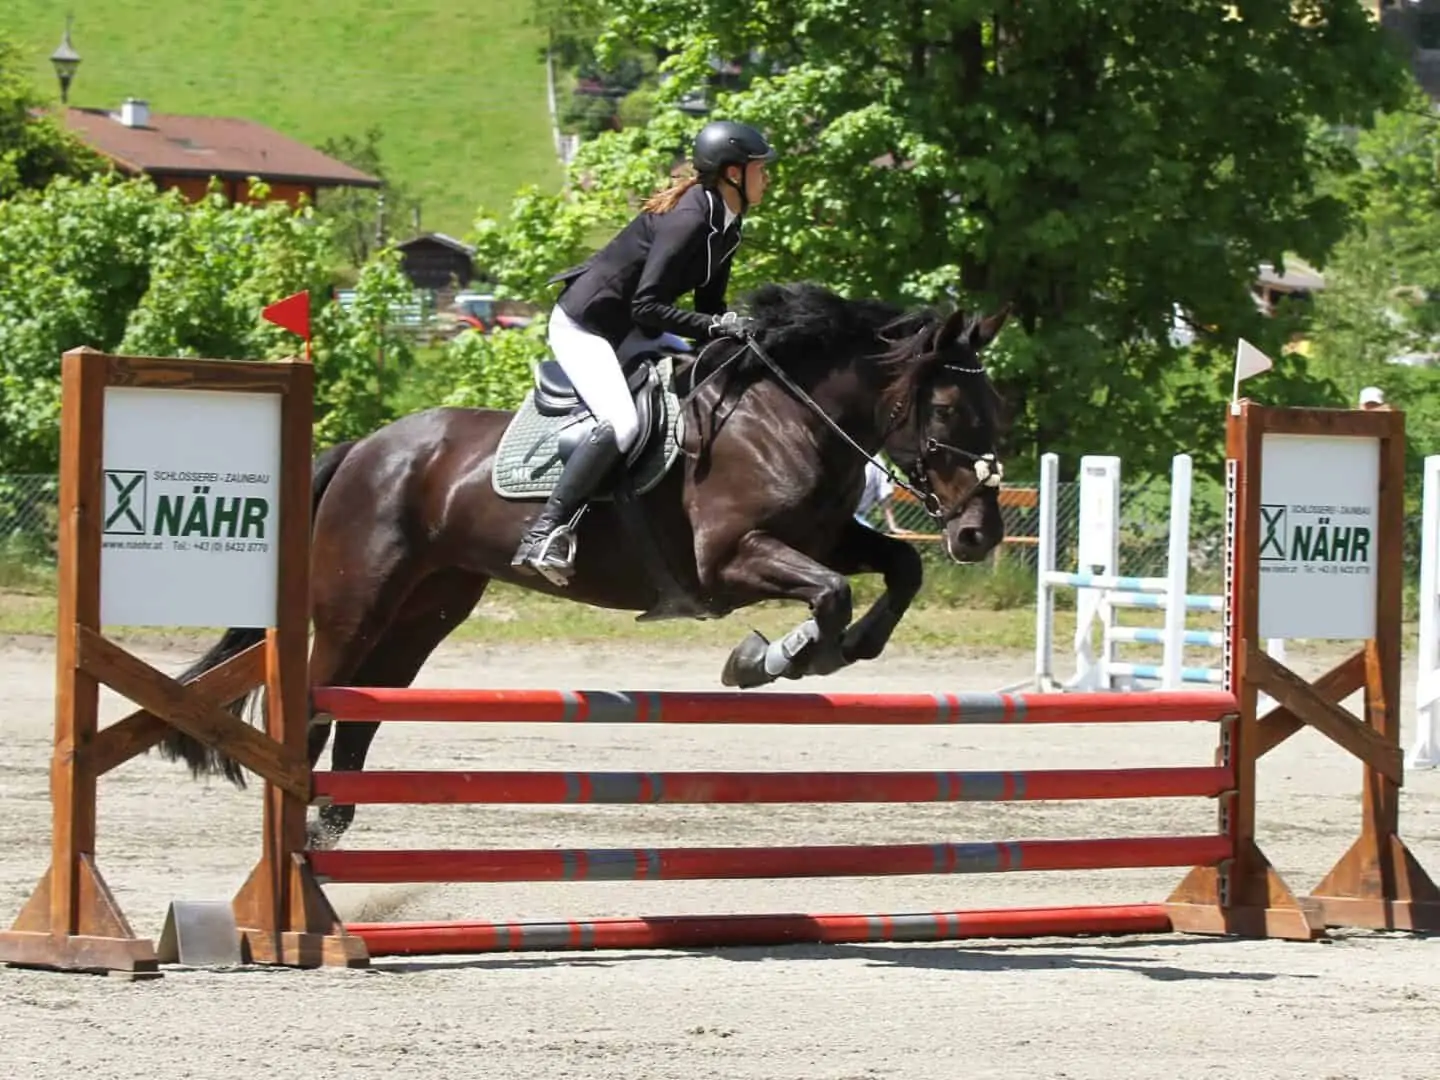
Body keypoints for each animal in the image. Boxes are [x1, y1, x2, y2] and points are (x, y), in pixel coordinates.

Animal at [160, 283, 1013, 852]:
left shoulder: (828, 536)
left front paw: (845, 648)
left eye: (995, 408)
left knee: (364, 707)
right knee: (313, 701)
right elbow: (830, 594)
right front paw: (777, 658)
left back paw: (329, 828)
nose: (978, 534)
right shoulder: (729, 560)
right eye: (945, 410)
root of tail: (367, 447)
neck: (789, 416)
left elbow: (898, 569)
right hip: (355, 602)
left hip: (426, 609)